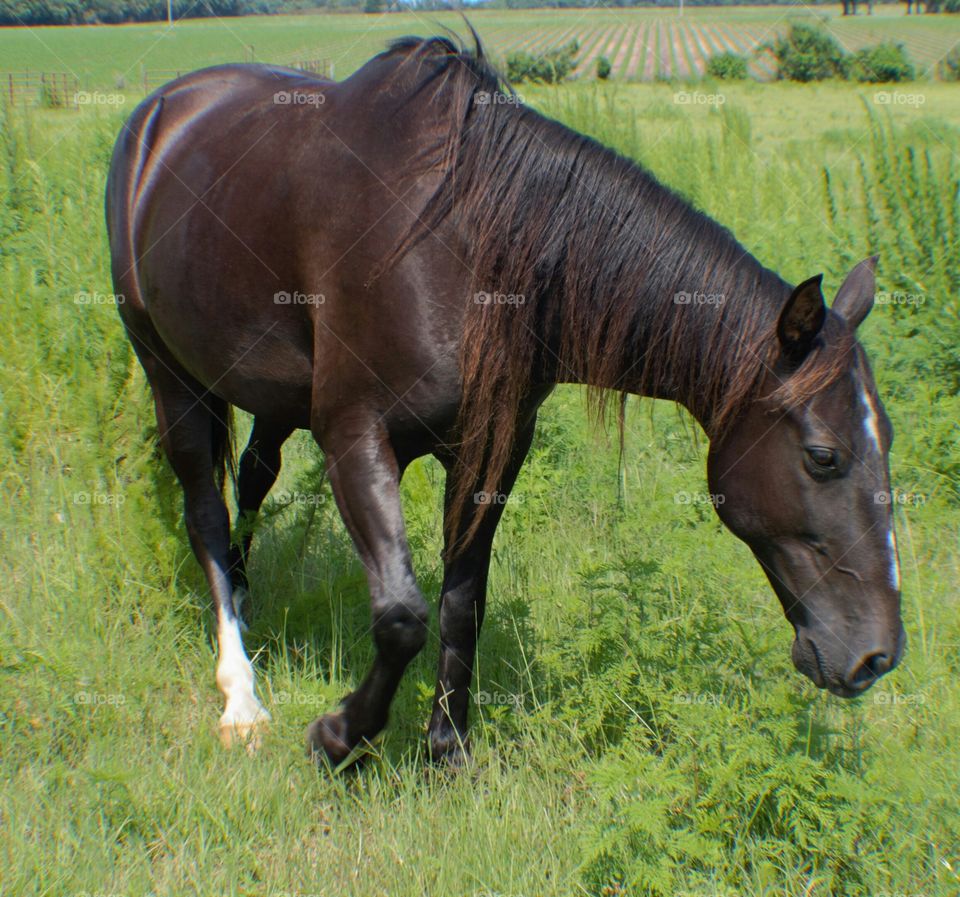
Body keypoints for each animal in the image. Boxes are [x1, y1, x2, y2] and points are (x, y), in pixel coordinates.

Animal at [109, 36, 904, 764]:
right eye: (823, 456)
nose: (878, 655)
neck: (458, 246)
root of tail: (164, 108)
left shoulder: (491, 448)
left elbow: (463, 601)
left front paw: (448, 747)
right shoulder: (353, 436)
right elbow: (402, 616)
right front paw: (339, 736)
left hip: (265, 392)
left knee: (252, 477)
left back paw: (248, 601)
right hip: (168, 374)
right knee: (206, 512)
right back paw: (239, 692)